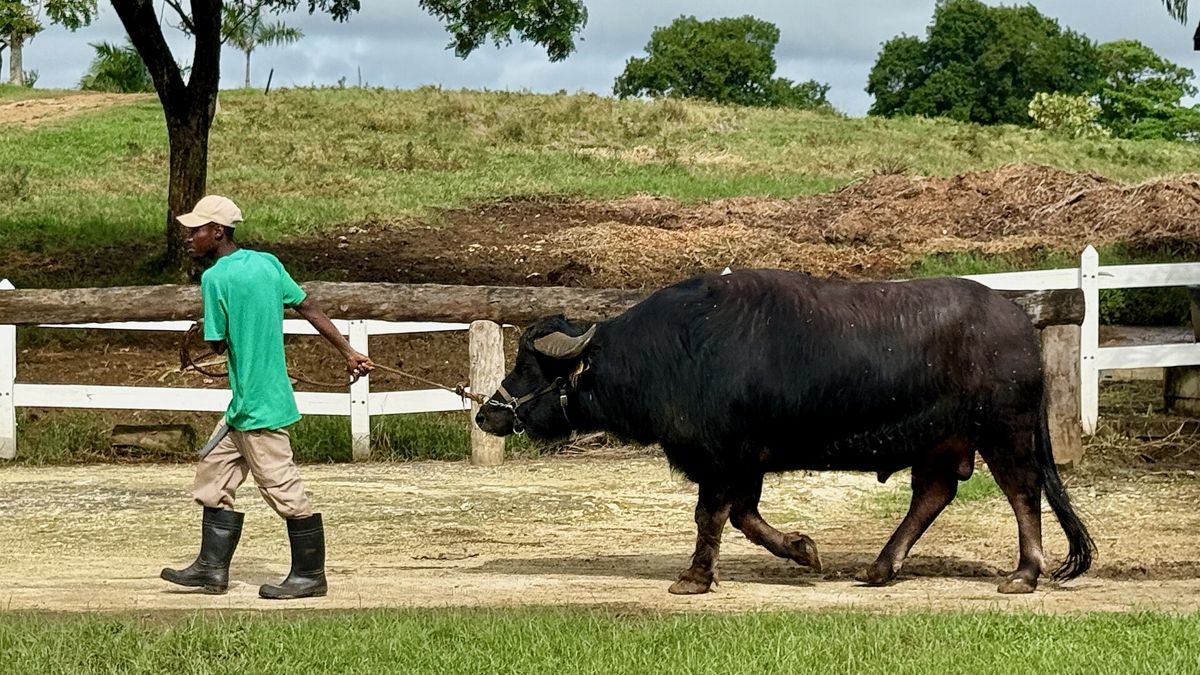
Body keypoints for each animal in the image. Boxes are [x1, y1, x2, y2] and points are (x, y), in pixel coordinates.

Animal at [475, 269, 1093, 594]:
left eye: (530, 366)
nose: (487, 413)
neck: (675, 352)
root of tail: (1020, 323)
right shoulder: (744, 464)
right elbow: (744, 518)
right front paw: (803, 550)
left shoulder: (720, 458)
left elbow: (710, 516)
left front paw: (693, 578)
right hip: (938, 444)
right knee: (933, 495)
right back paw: (879, 567)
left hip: (1005, 433)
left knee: (1023, 493)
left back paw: (1024, 574)